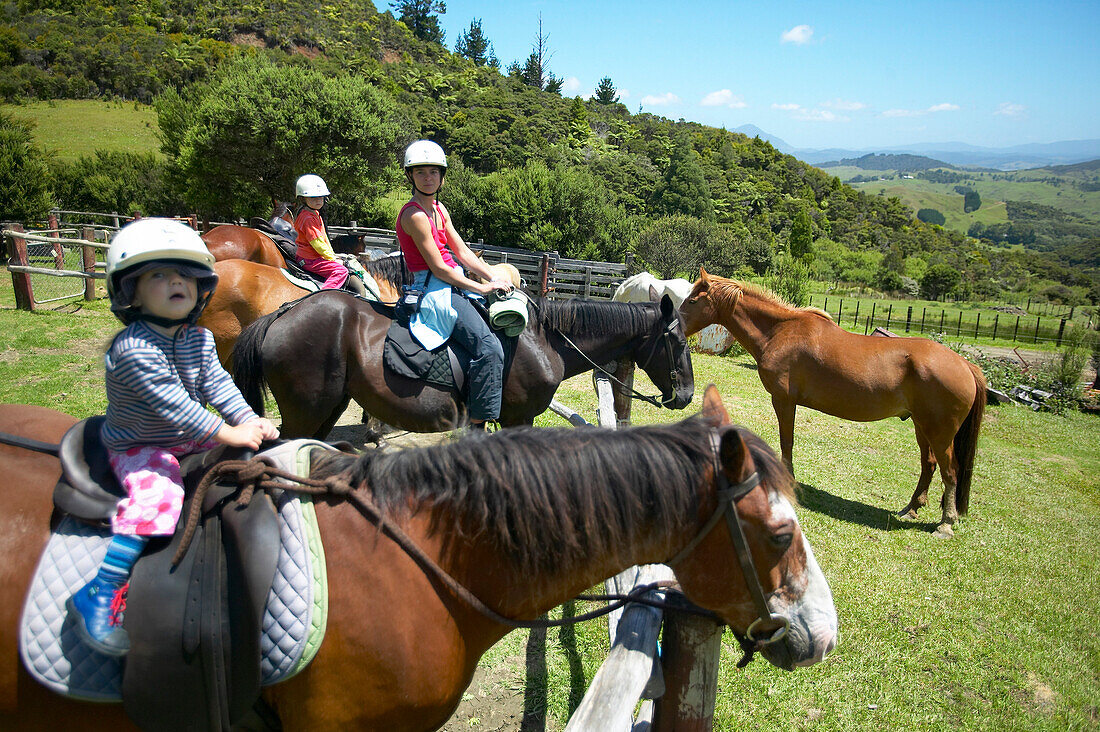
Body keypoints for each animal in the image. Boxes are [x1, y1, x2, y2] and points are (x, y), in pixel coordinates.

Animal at [677, 268, 990, 537]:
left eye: (692, 300)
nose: (674, 327)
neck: (780, 332)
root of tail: (965, 365)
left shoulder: (784, 400)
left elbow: (786, 441)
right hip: (921, 426)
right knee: (929, 465)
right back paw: (911, 508)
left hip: (940, 431)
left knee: (950, 472)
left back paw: (946, 523)